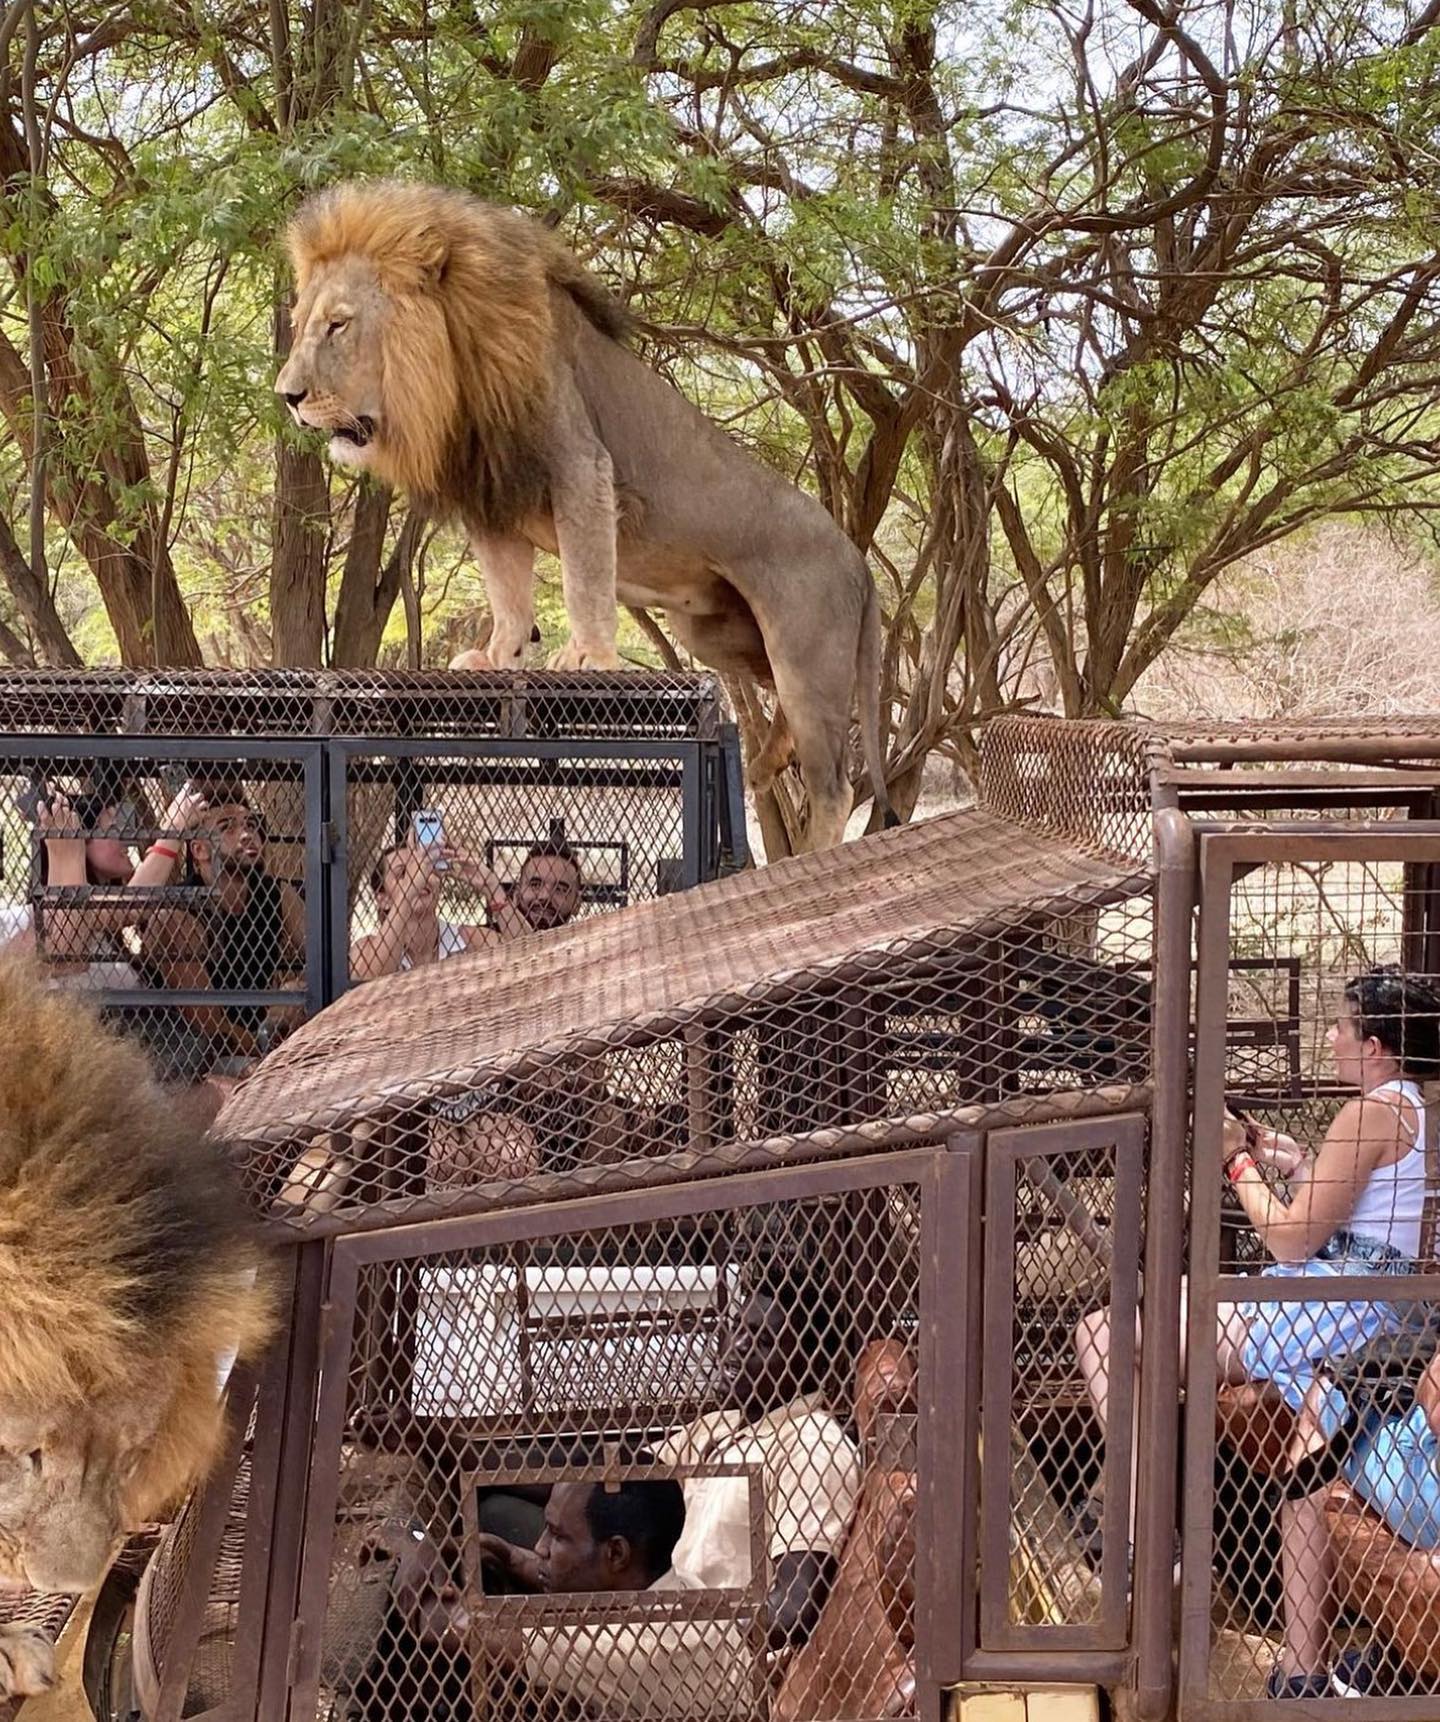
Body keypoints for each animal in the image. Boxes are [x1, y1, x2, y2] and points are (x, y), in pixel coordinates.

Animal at [274, 179, 894, 851]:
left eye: (338, 326)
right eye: (301, 326)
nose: (288, 396)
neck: (455, 368)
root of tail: (859, 563)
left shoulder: (579, 465)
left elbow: (584, 574)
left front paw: (588, 657)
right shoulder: (494, 494)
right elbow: (507, 590)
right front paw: (498, 656)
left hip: (804, 653)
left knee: (834, 785)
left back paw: (806, 851)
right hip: (713, 635)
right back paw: (772, 756)